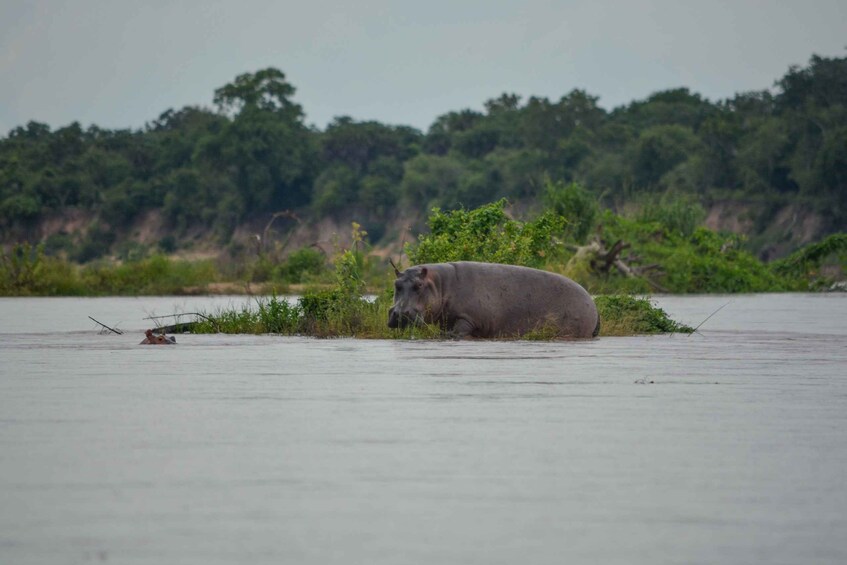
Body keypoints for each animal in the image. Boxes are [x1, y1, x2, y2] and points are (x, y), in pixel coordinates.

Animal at [388, 262, 600, 338]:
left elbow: (458, 330)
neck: (441, 284)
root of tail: (594, 305)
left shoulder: (468, 317)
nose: (399, 313)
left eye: (419, 285)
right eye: (396, 284)